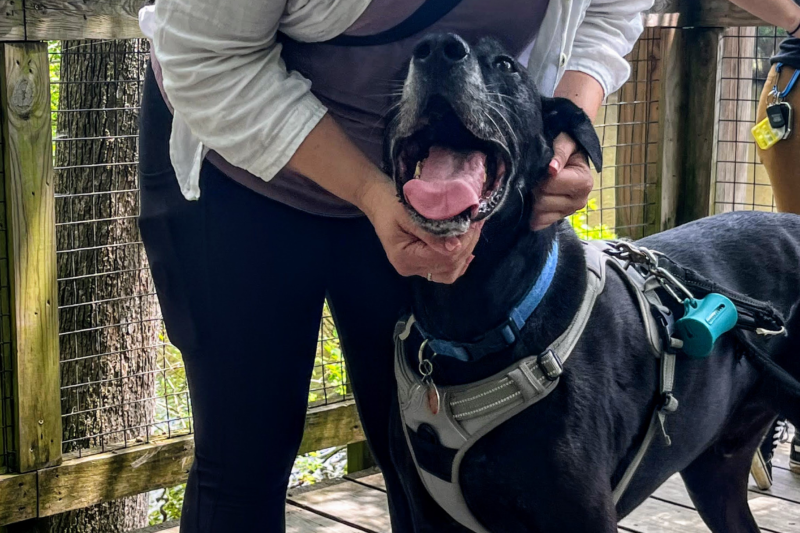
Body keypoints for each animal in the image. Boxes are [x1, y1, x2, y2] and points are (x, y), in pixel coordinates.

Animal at [384, 34, 796, 532]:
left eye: (505, 65)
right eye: (409, 55)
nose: (438, 47)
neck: (470, 318)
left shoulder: (585, 515)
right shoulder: (428, 515)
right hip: (715, 472)